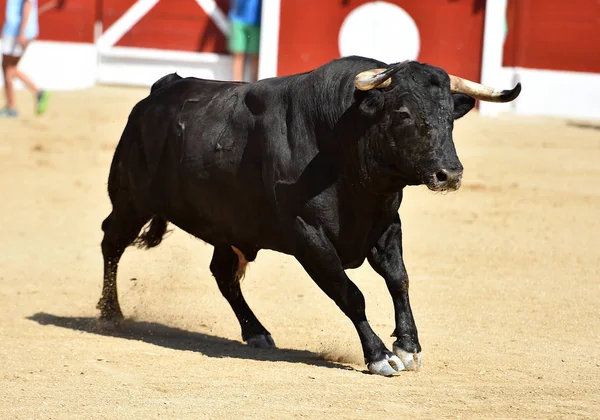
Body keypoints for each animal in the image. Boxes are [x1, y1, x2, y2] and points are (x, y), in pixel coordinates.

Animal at [98, 56, 520, 378]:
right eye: (402, 112)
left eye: (450, 115)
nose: (450, 174)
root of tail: (161, 89)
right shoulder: (308, 237)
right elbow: (351, 294)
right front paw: (380, 357)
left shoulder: (385, 224)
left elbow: (399, 280)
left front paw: (408, 346)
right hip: (130, 201)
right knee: (111, 241)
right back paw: (110, 313)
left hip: (227, 228)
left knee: (223, 275)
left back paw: (257, 332)